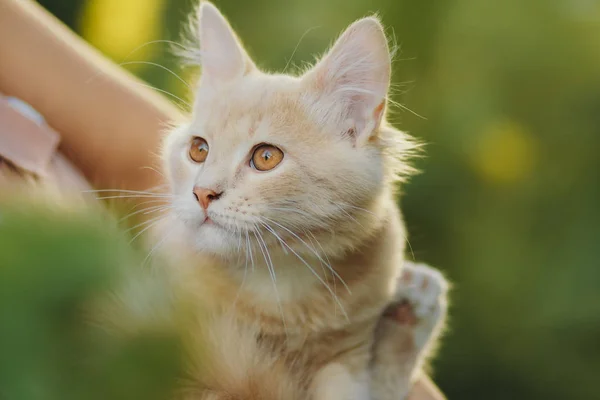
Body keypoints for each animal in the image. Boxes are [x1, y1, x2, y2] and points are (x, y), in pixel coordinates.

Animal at [157, 2, 448, 396]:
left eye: (266, 157)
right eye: (198, 150)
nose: (202, 193)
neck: (278, 285)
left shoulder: (347, 358)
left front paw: (410, 316)